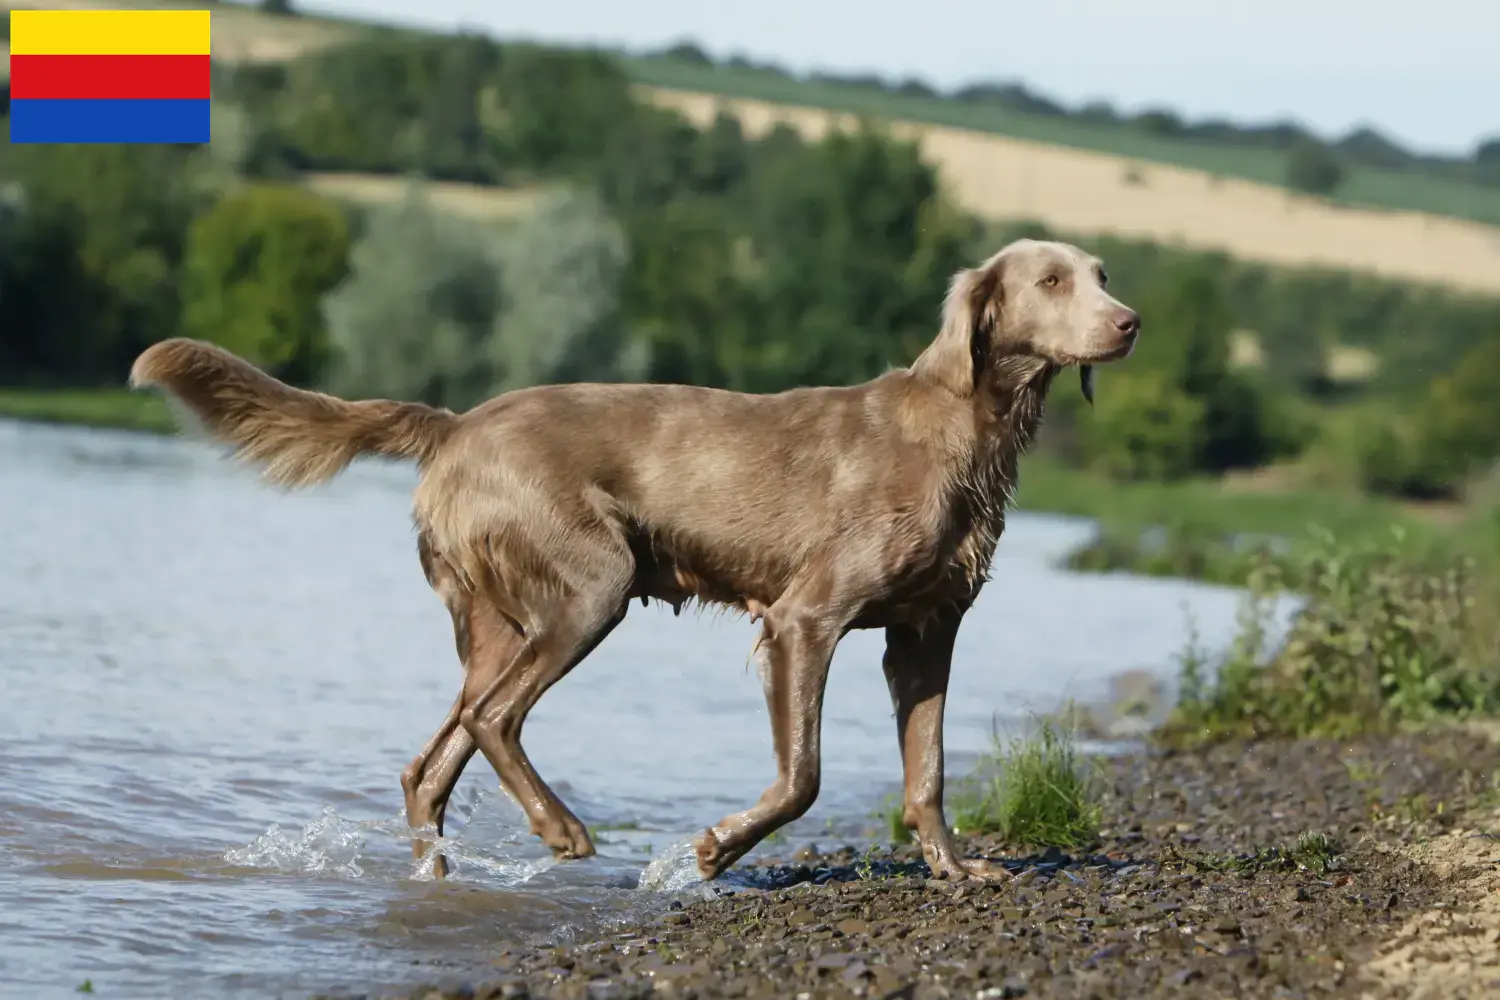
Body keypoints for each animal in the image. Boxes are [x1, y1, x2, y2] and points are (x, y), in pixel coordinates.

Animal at [132, 239, 1134, 881]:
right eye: (1052, 280)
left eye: (1101, 275)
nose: (1128, 322)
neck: (970, 430)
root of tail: (457, 424)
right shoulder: (805, 618)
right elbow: (803, 775)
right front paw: (716, 848)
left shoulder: (926, 634)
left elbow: (926, 772)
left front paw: (958, 869)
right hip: (589, 588)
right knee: (494, 720)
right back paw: (564, 831)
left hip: (499, 621)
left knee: (433, 762)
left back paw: (442, 879)